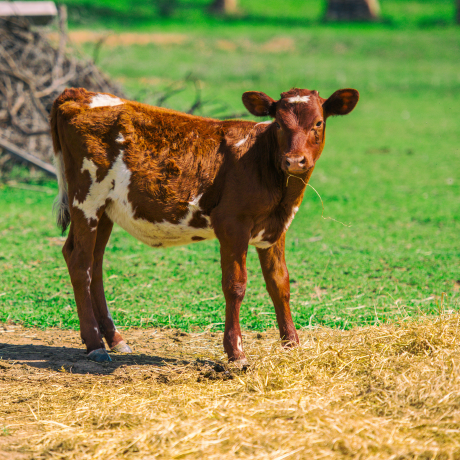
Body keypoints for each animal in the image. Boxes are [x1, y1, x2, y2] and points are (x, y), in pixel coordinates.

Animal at [50, 84, 360, 362]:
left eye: (318, 122)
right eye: (280, 124)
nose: (294, 160)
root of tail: (78, 93)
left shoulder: (275, 229)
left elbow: (279, 283)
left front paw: (292, 345)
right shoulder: (232, 224)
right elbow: (235, 285)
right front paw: (236, 352)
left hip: (105, 209)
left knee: (94, 262)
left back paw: (115, 339)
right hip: (86, 198)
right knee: (80, 261)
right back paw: (95, 345)